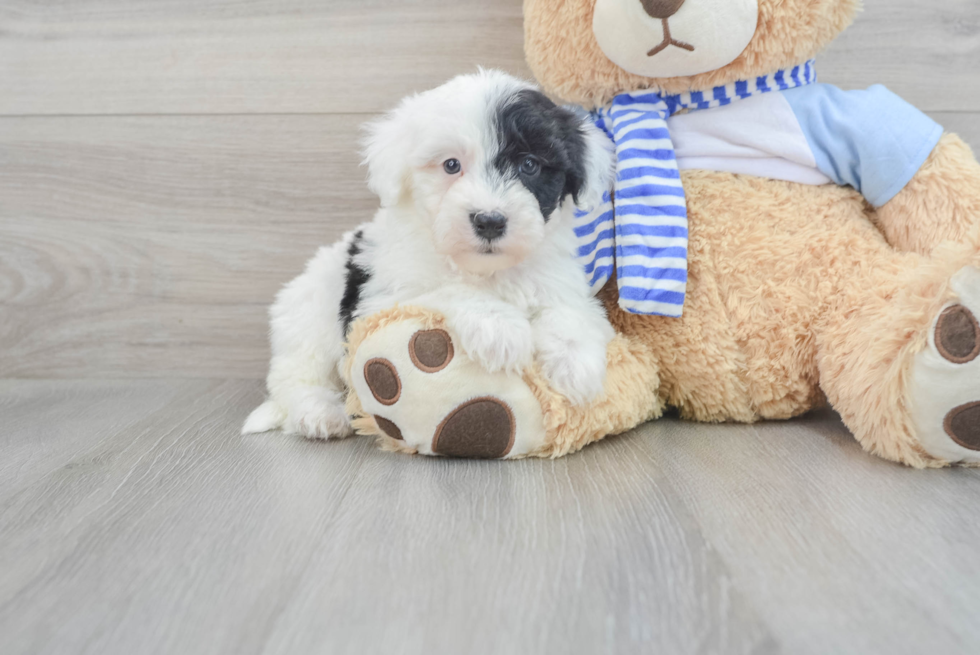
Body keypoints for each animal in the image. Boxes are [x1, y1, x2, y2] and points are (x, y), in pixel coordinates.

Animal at [243, 69, 612, 440]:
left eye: (530, 165)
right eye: (451, 165)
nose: (489, 221)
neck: (486, 269)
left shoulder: (555, 278)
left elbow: (569, 311)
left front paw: (576, 362)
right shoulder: (382, 299)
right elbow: (444, 290)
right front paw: (499, 327)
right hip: (310, 317)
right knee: (296, 376)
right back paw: (319, 413)